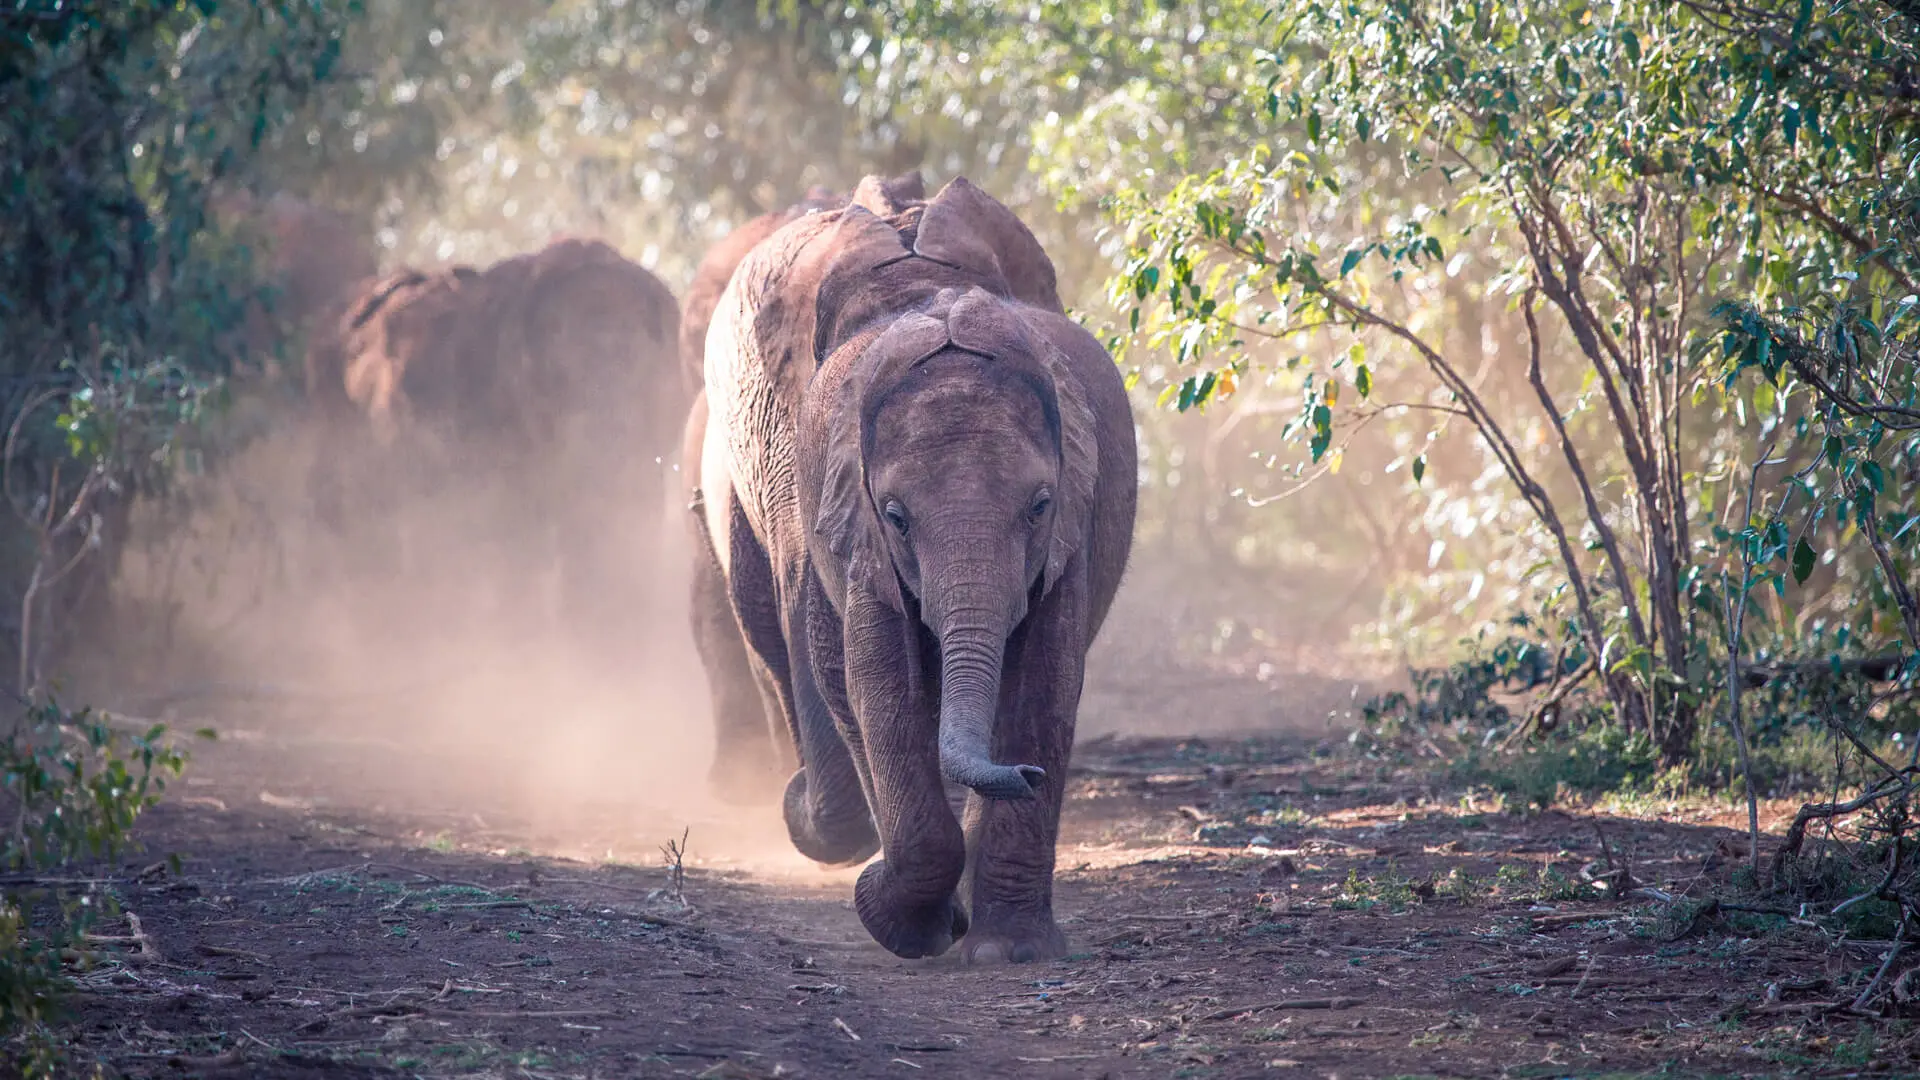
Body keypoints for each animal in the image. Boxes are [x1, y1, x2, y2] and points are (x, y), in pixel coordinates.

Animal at [687, 174, 1137, 964]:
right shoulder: (824, 493)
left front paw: (1008, 952)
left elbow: (1046, 677)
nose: (1025, 776)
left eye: (1040, 506)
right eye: (895, 516)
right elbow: (871, 675)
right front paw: (907, 919)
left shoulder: (1070, 529)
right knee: (774, 638)